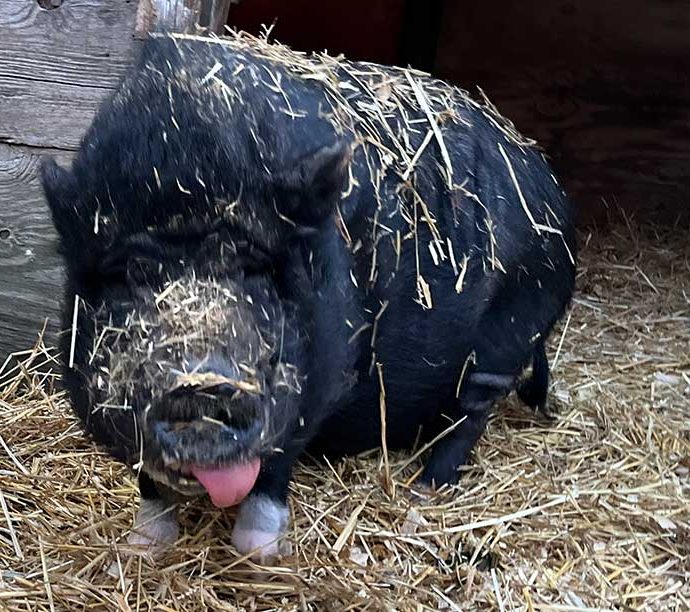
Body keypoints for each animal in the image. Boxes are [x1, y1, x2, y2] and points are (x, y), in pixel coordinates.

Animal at [40, 33, 576, 561]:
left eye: (256, 269)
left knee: (472, 413)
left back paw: (425, 490)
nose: (203, 386)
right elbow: (148, 479)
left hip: (509, 330)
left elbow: (277, 458)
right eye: (131, 272)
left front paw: (260, 554)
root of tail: (555, 196)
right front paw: (143, 547)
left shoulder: (322, 372)